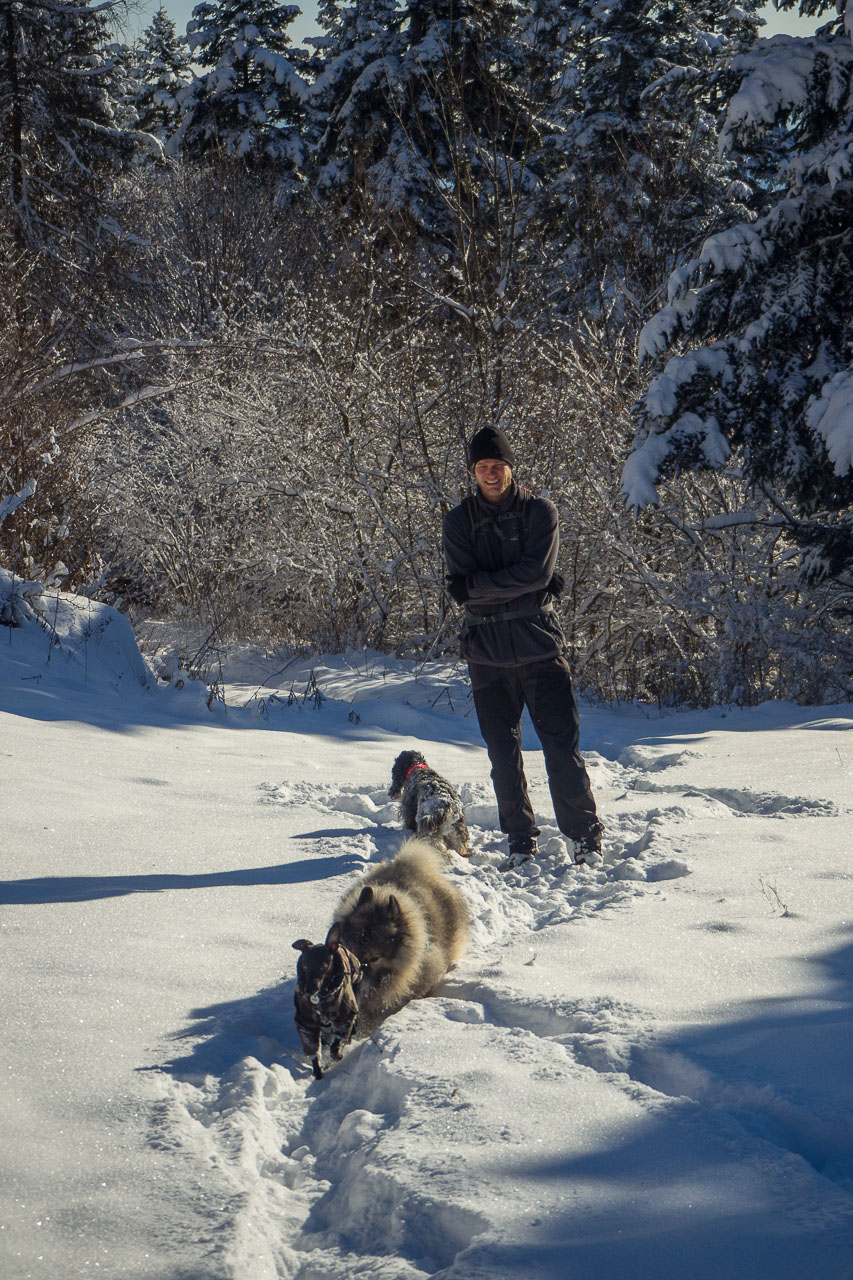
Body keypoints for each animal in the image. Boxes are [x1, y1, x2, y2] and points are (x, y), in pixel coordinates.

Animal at [290, 926, 361, 1075]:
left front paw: (336, 1055)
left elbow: (338, 1042)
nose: (308, 990)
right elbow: (314, 1053)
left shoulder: (344, 1017)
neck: (323, 995)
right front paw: (318, 1073)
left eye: (323, 966)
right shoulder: (306, 1023)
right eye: (304, 966)